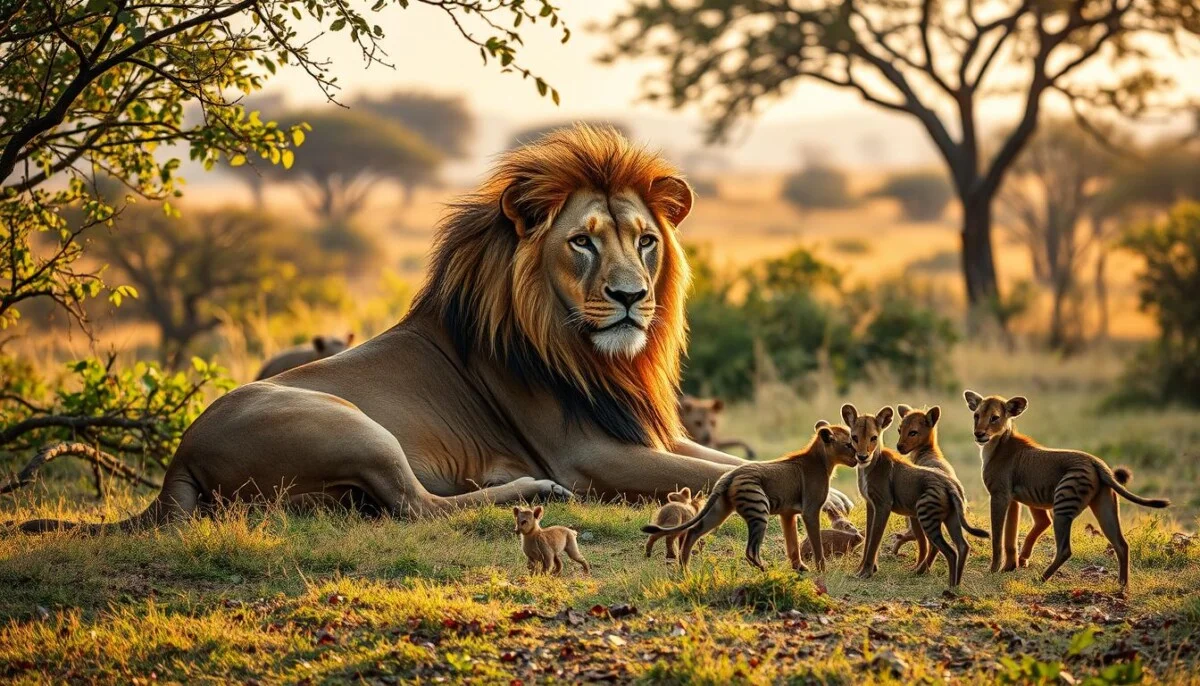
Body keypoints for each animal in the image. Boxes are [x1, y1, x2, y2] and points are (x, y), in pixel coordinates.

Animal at [20, 125, 851, 534]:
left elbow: (723, 457)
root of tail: (179, 462)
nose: (630, 297)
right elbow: (707, 473)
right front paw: (832, 498)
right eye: (582, 242)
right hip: (349, 424)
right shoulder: (592, 454)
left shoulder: (652, 432)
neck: (592, 356)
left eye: (645, 240)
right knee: (419, 506)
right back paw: (527, 489)